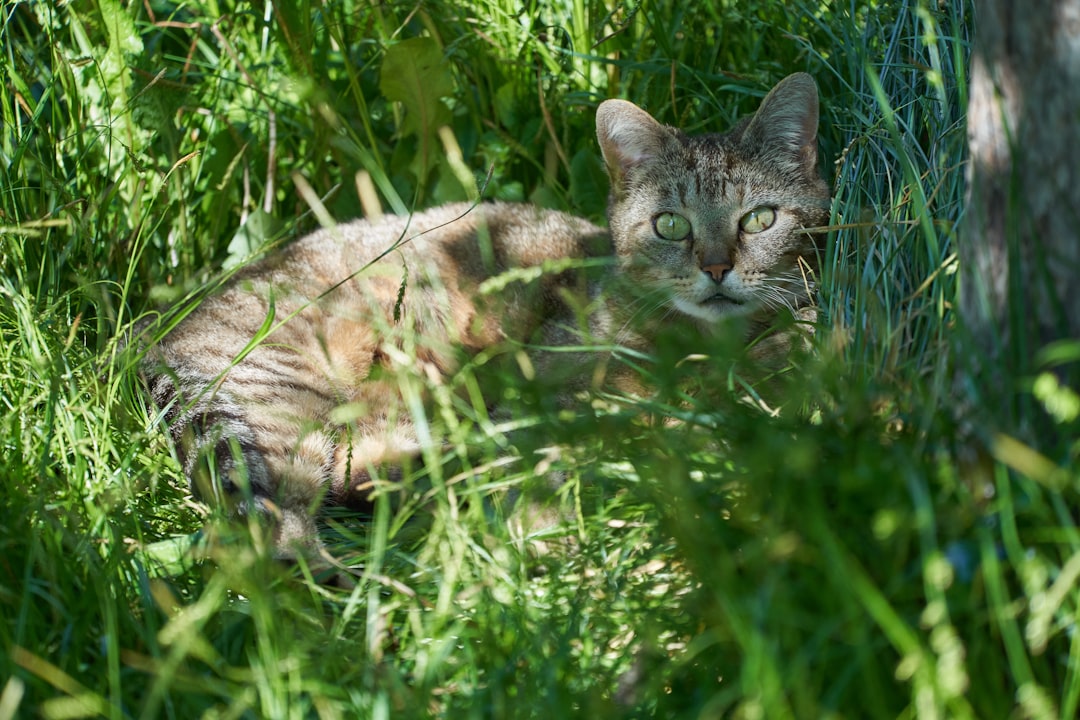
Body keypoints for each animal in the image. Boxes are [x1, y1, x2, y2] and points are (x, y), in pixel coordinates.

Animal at [143, 71, 829, 557]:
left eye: (759, 219)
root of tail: (159, 335)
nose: (715, 268)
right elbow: (552, 459)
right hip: (283, 400)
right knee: (282, 523)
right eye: (670, 225)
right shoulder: (552, 394)